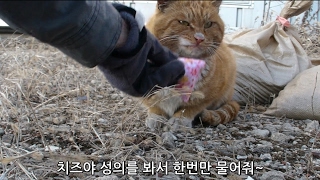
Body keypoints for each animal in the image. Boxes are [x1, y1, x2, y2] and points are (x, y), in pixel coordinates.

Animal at [144, 0, 239, 130]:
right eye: (183, 22)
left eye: (208, 24)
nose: (199, 38)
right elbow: (154, 105)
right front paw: (156, 117)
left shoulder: (209, 95)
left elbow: (191, 107)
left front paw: (179, 120)